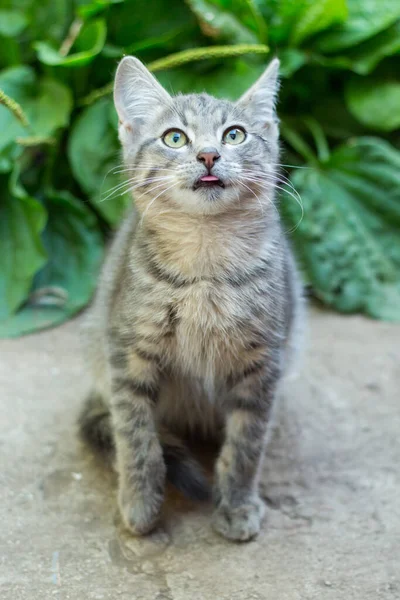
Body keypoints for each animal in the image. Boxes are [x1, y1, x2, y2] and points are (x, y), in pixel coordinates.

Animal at [79, 56, 304, 540]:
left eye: (234, 135)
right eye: (175, 138)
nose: (208, 155)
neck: (205, 262)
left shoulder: (264, 363)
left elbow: (246, 443)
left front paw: (236, 505)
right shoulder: (126, 354)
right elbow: (136, 437)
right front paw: (140, 504)